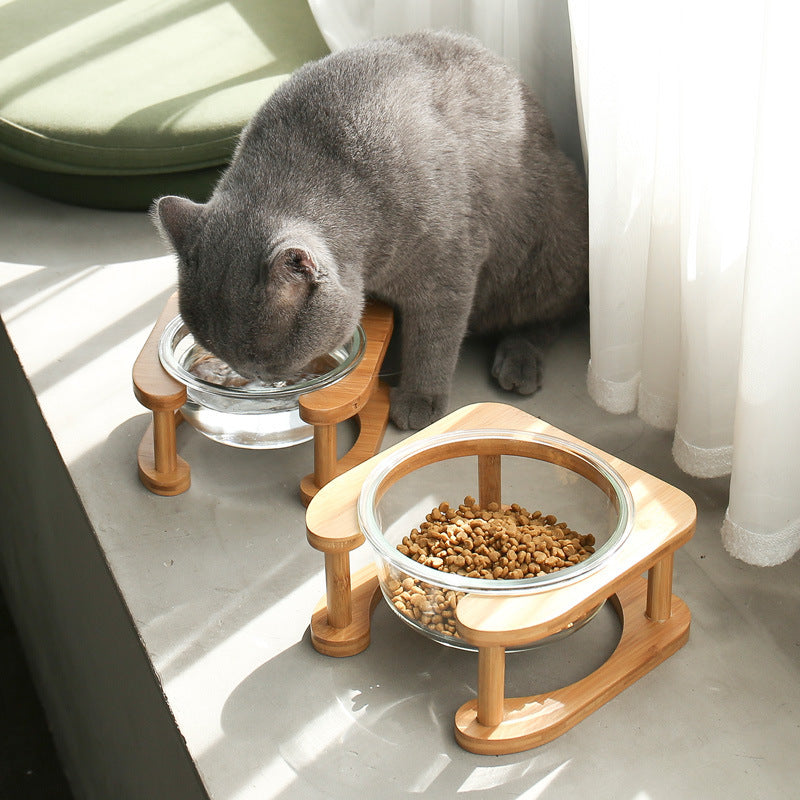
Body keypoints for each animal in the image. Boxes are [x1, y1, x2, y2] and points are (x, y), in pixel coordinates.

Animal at [153, 29, 588, 432]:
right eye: (219, 350)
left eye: (268, 361)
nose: (257, 379)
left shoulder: (447, 272)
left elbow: (434, 340)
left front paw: (419, 400)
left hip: (544, 256)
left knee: (546, 317)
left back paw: (519, 362)